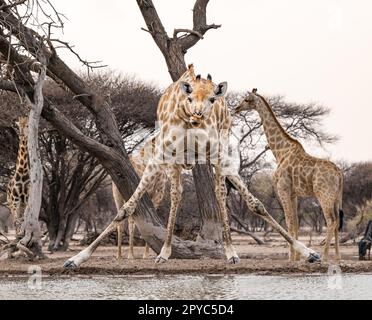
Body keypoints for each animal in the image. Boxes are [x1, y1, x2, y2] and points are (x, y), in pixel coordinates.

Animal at [63, 64, 320, 268]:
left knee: (245, 200)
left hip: (221, 153)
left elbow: (226, 196)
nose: (198, 116)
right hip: (177, 164)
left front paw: (231, 252)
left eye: (211, 99)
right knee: (178, 195)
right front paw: (76, 258)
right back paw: (164, 252)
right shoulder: (161, 158)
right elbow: (127, 207)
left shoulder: (215, 155)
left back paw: (305, 252)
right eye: (189, 98)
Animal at [237, 89, 344, 262]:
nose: (236, 108)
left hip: (324, 195)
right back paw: (337, 257)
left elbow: (289, 223)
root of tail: (339, 173)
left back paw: (325, 256)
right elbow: (295, 224)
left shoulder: (283, 189)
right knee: (337, 221)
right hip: (336, 198)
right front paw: (297, 257)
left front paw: (292, 257)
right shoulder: (293, 194)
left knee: (331, 221)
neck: (280, 152)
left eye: (247, 99)